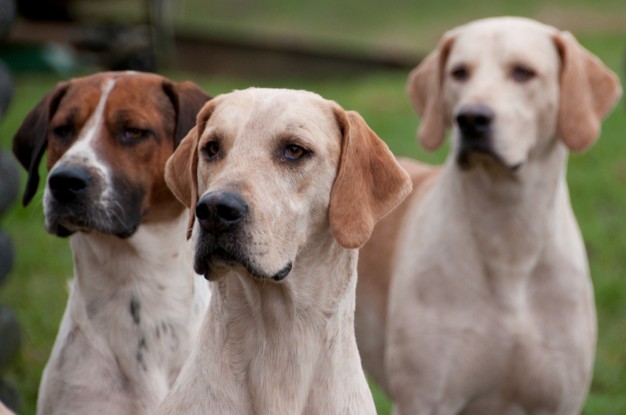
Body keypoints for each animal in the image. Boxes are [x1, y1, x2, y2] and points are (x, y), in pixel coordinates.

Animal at [354, 17, 620, 415]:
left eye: (523, 72)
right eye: (459, 73)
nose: (471, 118)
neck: (509, 236)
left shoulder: (559, 401)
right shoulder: (425, 399)